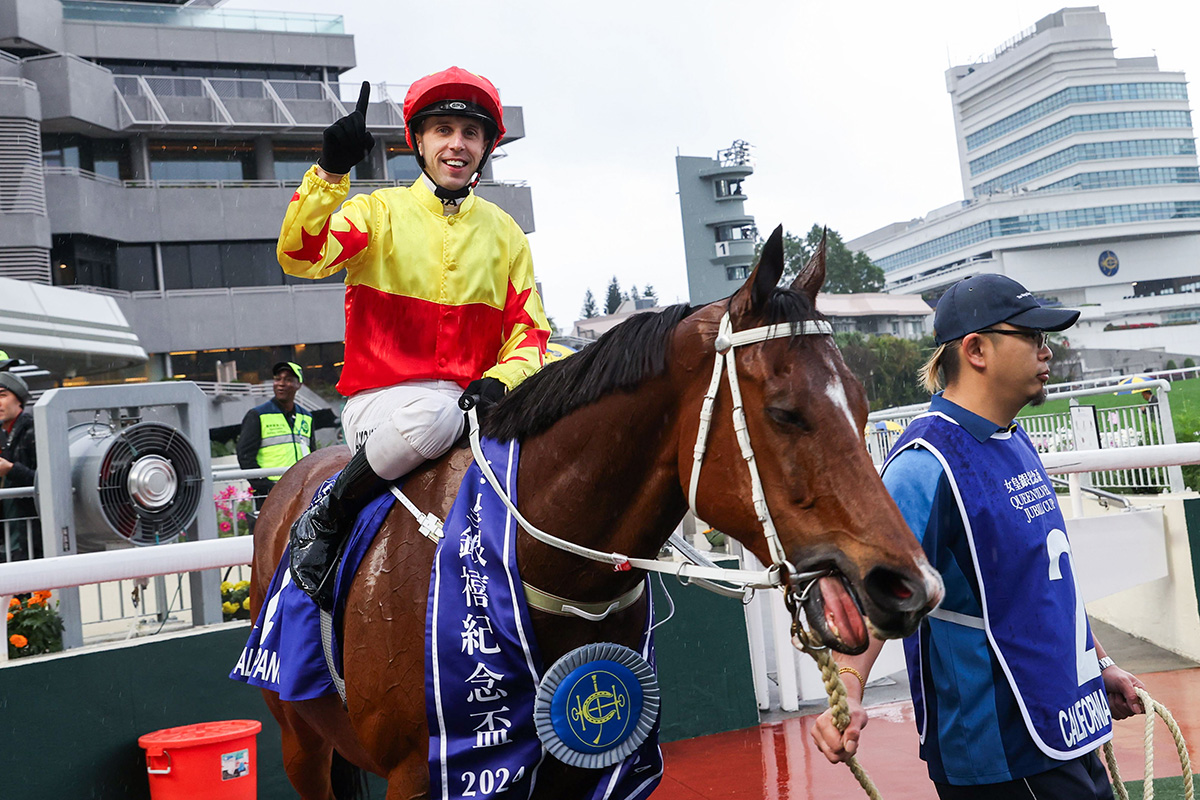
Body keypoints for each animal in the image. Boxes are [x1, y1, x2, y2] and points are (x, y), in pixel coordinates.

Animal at [253, 225, 940, 800]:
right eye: (784, 412)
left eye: (861, 403)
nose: (911, 584)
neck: (526, 563)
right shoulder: (428, 776)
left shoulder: (596, 769)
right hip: (299, 741)